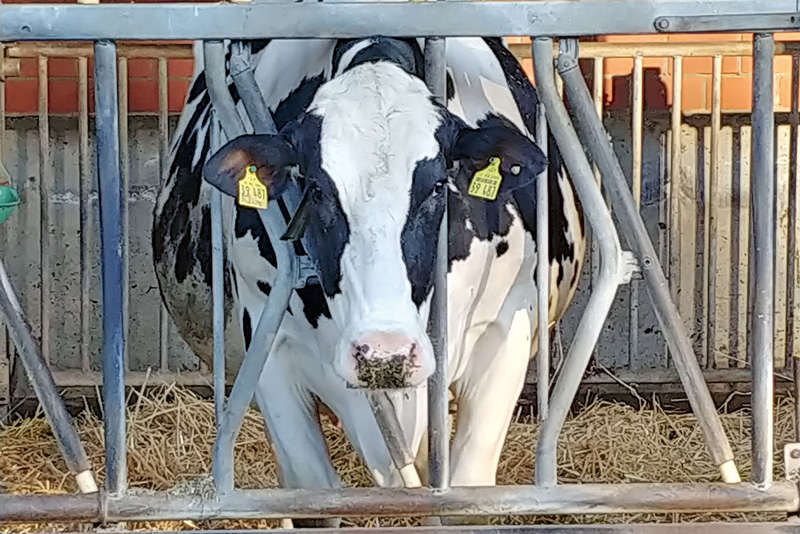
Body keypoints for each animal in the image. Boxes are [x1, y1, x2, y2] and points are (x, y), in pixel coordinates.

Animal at [153, 31, 584, 524]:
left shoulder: (504, 328)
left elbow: (465, 490)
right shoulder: (269, 339)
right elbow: (309, 490)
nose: (383, 354)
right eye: (316, 188)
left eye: (439, 185)